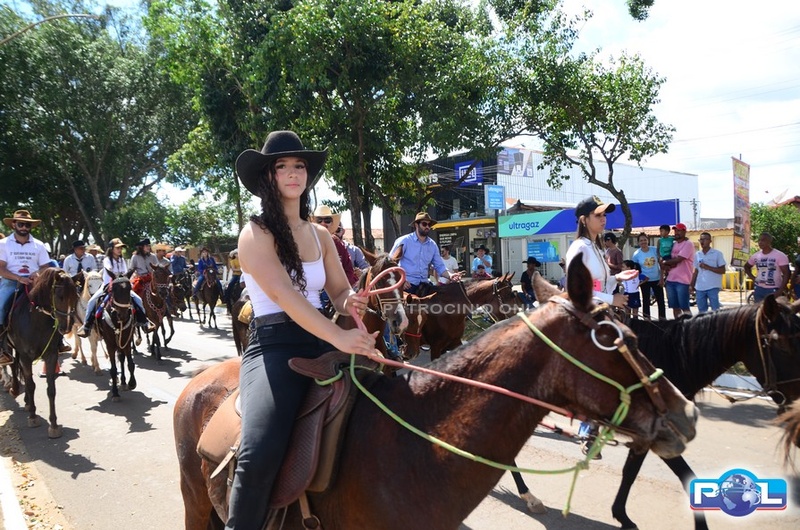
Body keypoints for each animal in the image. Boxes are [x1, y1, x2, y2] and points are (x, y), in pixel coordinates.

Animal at [6, 268, 78, 438]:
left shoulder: (51, 355)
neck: (35, 319)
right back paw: (15, 389)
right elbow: (31, 385)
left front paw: (54, 425)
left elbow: (51, 389)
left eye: (76, 297)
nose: (67, 326)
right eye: (60, 296)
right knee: (13, 365)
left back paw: (26, 401)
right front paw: (33, 417)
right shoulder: (26, 356)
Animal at [509, 295, 800, 529]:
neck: (672, 357)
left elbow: (643, 473)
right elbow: (663, 475)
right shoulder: (656, 435)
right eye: (781, 344)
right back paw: (529, 496)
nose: (794, 408)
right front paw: (623, 517)